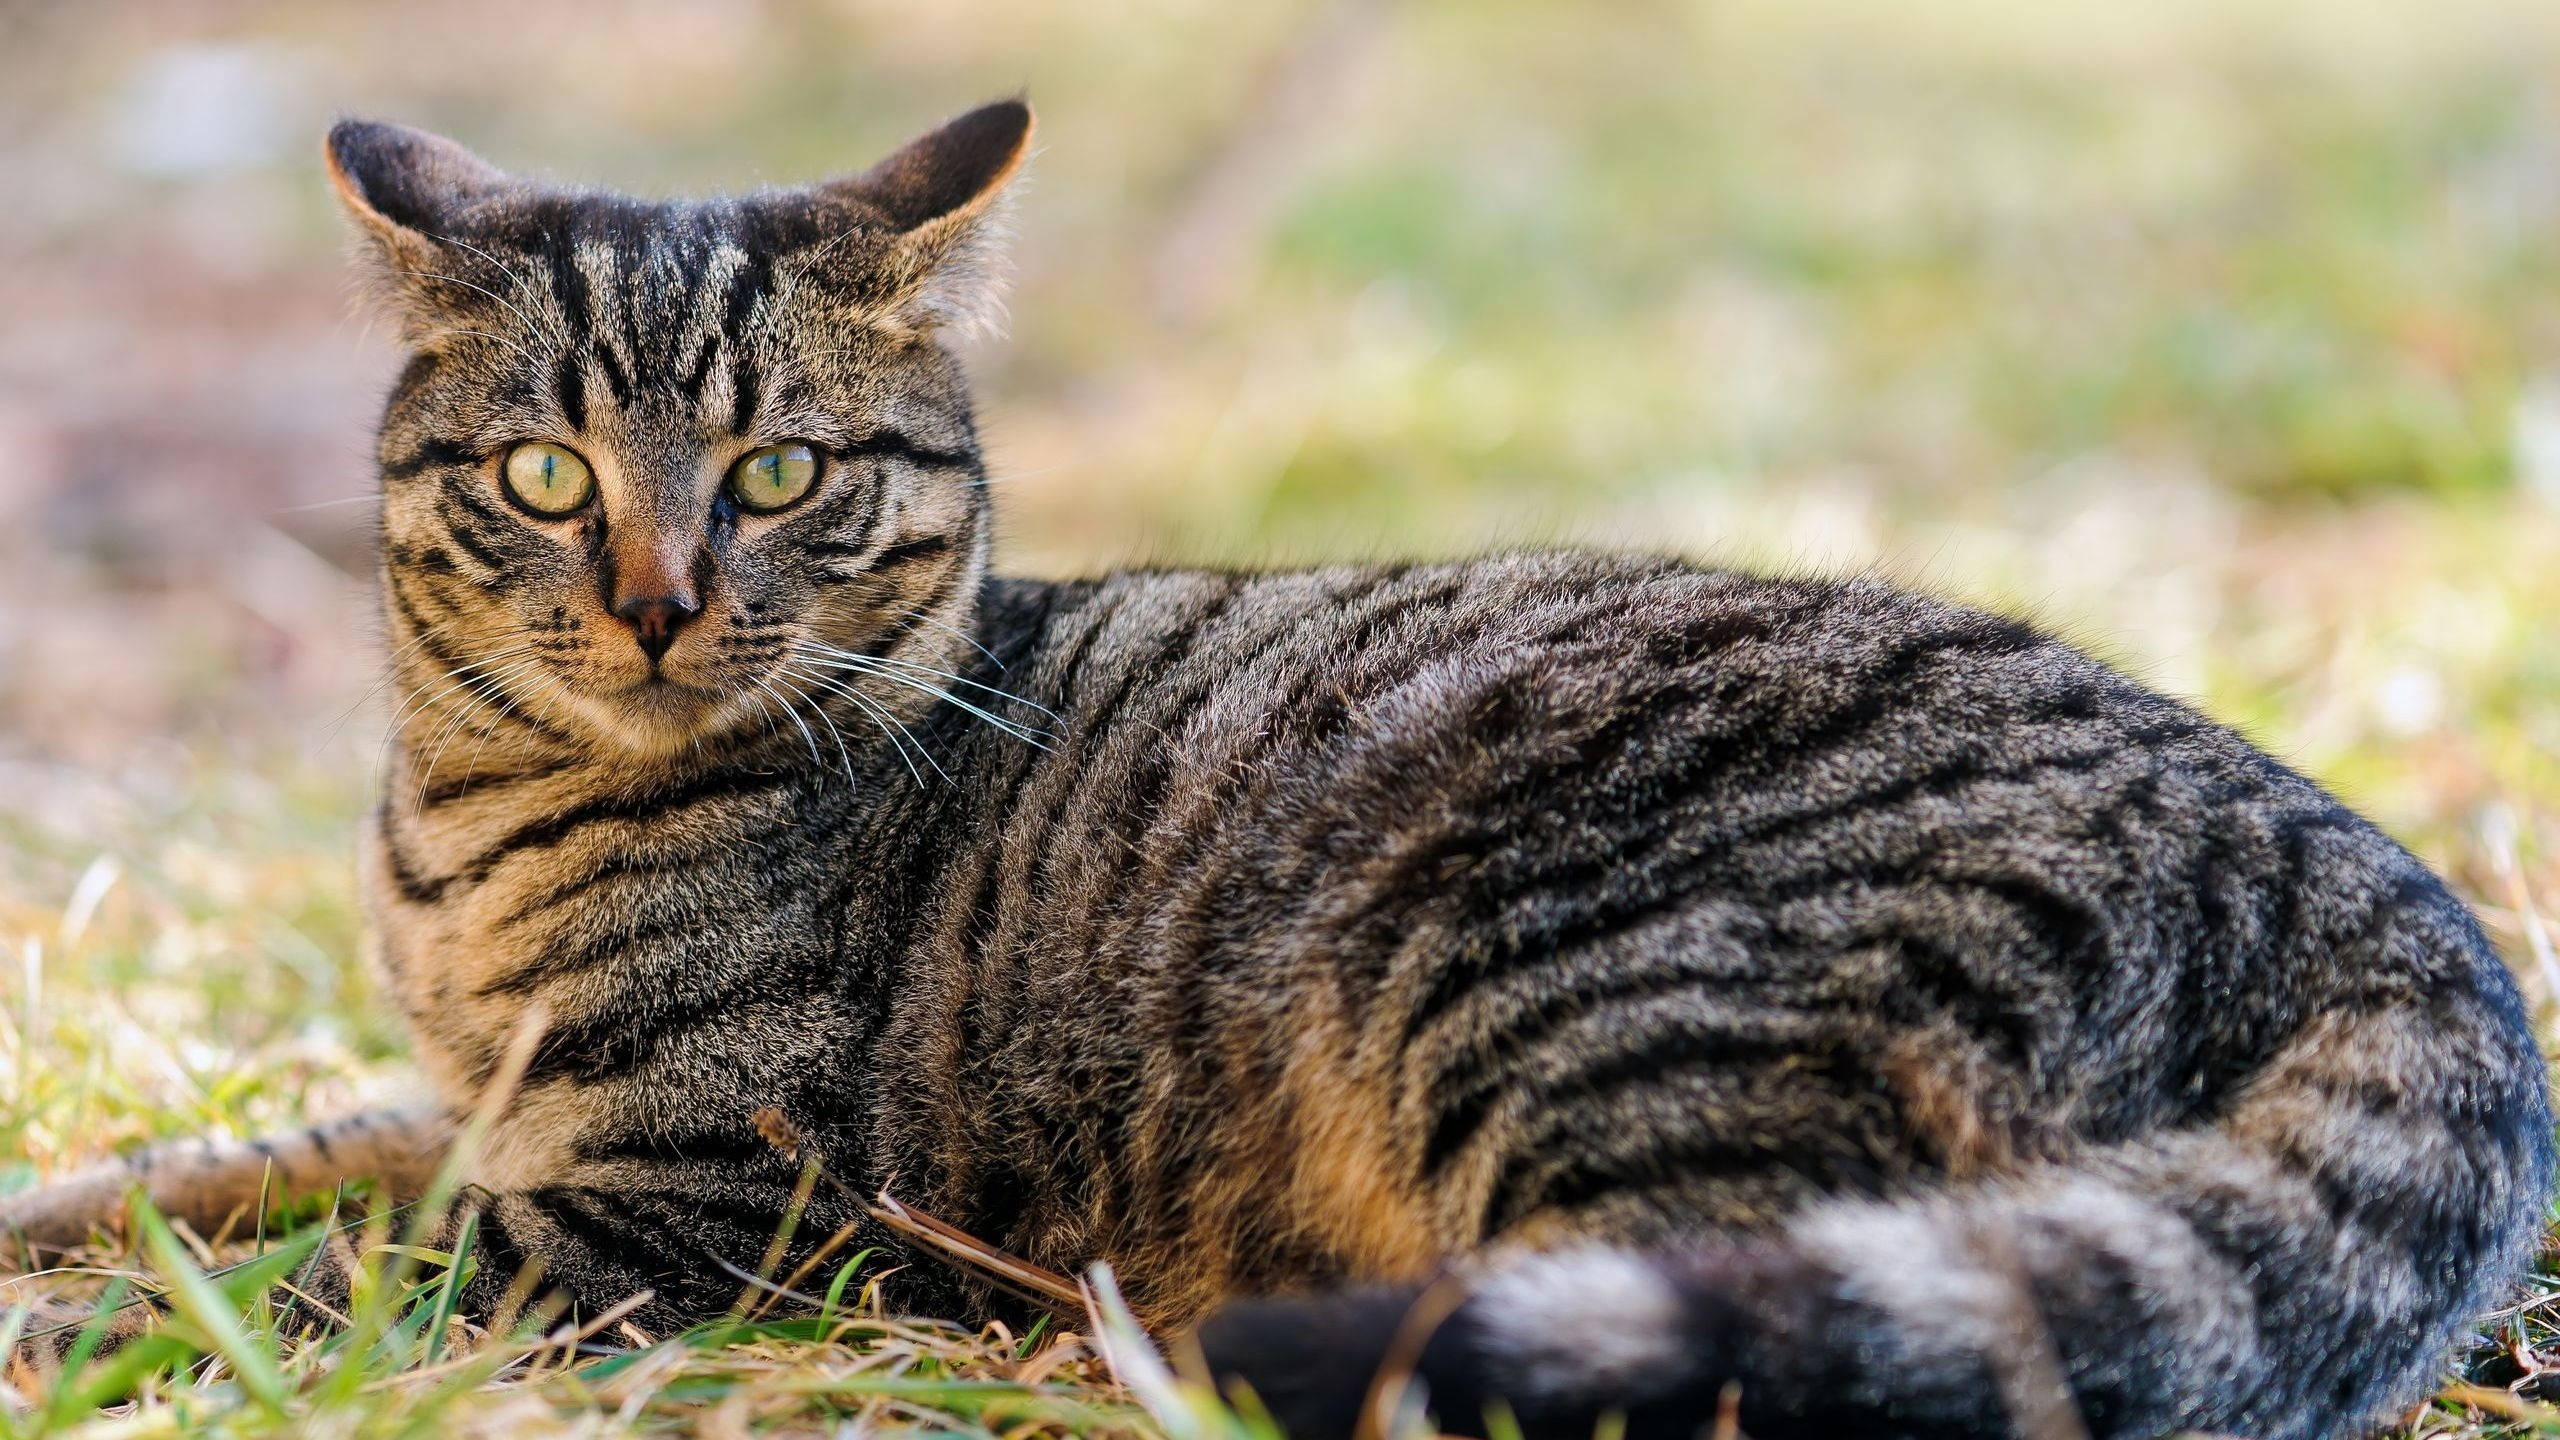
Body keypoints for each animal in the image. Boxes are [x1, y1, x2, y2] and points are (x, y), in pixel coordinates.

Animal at [10, 101, 2549, 1434]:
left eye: (781, 471)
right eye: (546, 477)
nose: (649, 593)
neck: (465, 837)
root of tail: (2357, 856)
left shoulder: (674, 1196)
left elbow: (325, 1269)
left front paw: (72, 1328)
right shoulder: (462, 1103)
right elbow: (211, 1175)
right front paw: (73, 1220)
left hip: (1586, 1002)